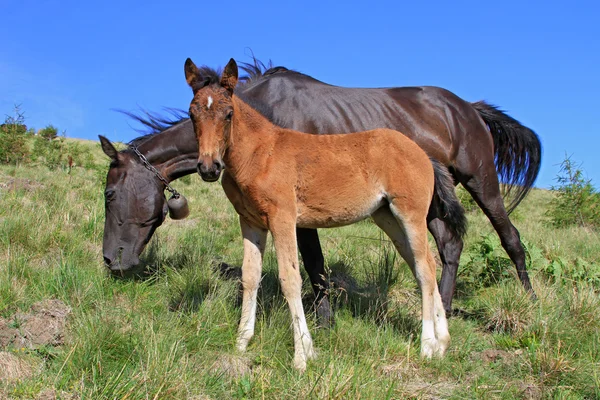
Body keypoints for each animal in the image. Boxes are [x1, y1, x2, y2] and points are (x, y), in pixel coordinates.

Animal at [101, 57, 540, 322]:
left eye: (108, 195)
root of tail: (468, 107)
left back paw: (531, 302)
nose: (110, 261)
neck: (264, 118)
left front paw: (324, 322)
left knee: (510, 238)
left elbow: (313, 264)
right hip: (425, 200)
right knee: (448, 246)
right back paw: (440, 310)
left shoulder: (297, 209)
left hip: (482, 182)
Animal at [185, 57, 466, 370]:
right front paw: (242, 342)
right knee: (422, 265)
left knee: (427, 269)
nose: (208, 167)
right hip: (387, 217)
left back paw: (427, 346)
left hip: (410, 214)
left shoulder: (283, 218)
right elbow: (250, 276)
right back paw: (442, 343)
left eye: (229, 114)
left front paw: (302, 356)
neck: (259, 154)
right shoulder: (250, 222)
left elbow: (290, 279)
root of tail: (424, 154)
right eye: (192, 114)